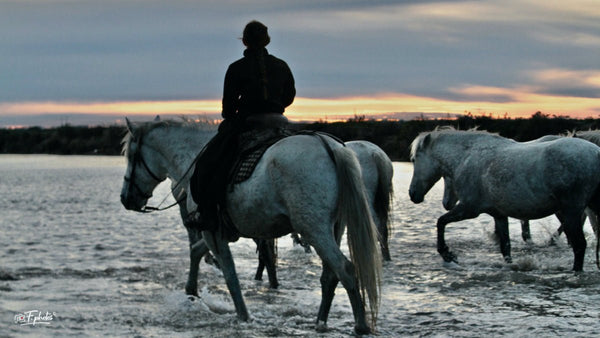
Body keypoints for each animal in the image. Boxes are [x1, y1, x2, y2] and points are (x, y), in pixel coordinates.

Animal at [120, 119, 382, 332]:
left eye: (131, 157)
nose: (125, 198)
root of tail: (330, 146)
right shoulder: (218, 231)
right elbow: (196, 251)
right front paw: (191, 290)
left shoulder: (212, 231)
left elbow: (230, 276)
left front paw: (243, 317)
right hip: (334, 228)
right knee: (330, 276)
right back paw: (320, 322)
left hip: (314, 230)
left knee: (345, 269)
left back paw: (360, 326)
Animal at [410, 128, 600, 270]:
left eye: (414, 159)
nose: (413, 194)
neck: (468, 156)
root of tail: (596, 152)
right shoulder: (499, 215)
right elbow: (505, 247)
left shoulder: (469, 209)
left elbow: (441, 222)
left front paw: (448, 254)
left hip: (571, 212)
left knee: (579, 245)